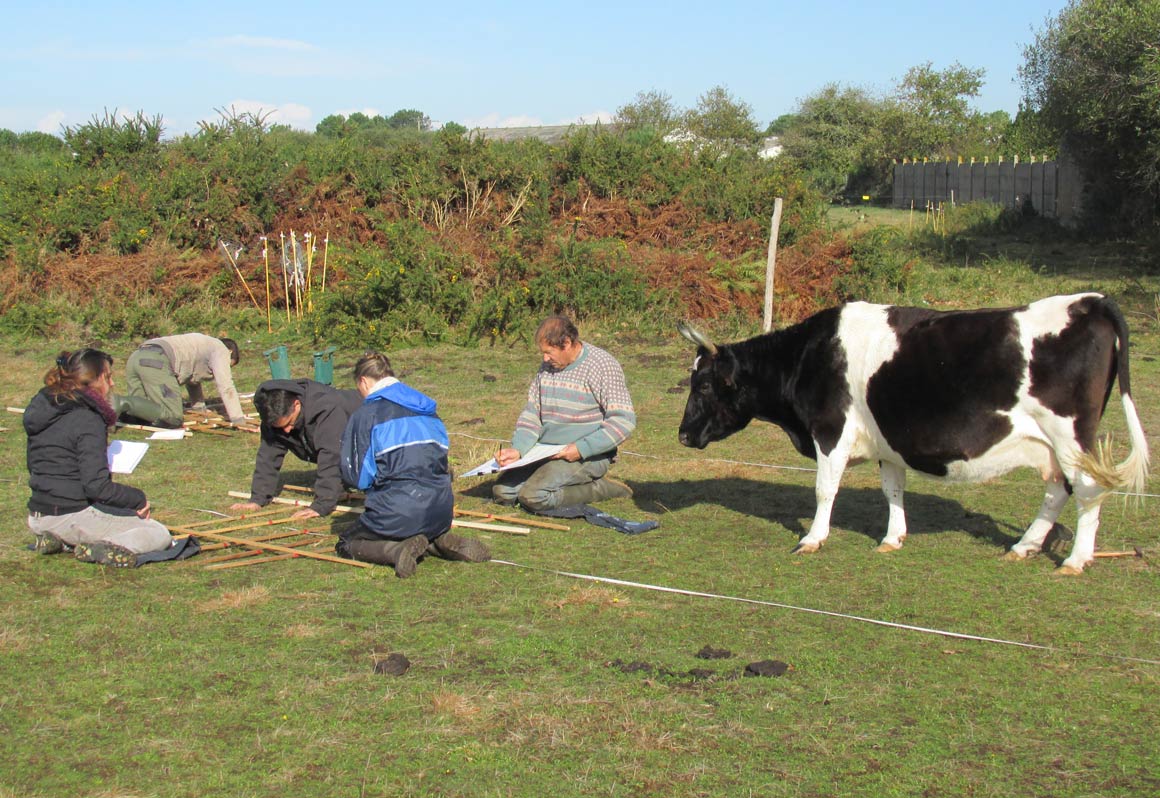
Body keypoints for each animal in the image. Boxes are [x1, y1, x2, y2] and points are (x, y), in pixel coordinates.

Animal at [677, 293, 1150, 572]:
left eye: (704, 385)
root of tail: (1090, 300)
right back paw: (1025, 545)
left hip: (1071, 437)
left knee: (1088, 491)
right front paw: (892, 538)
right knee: (1057, 489)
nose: (682, 435)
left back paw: (1075, 559)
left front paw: (812, 538)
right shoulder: (887, 444)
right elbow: (893, 489)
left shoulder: (830, 431)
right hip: (1052, 446)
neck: (809, 356)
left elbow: (825, 489)